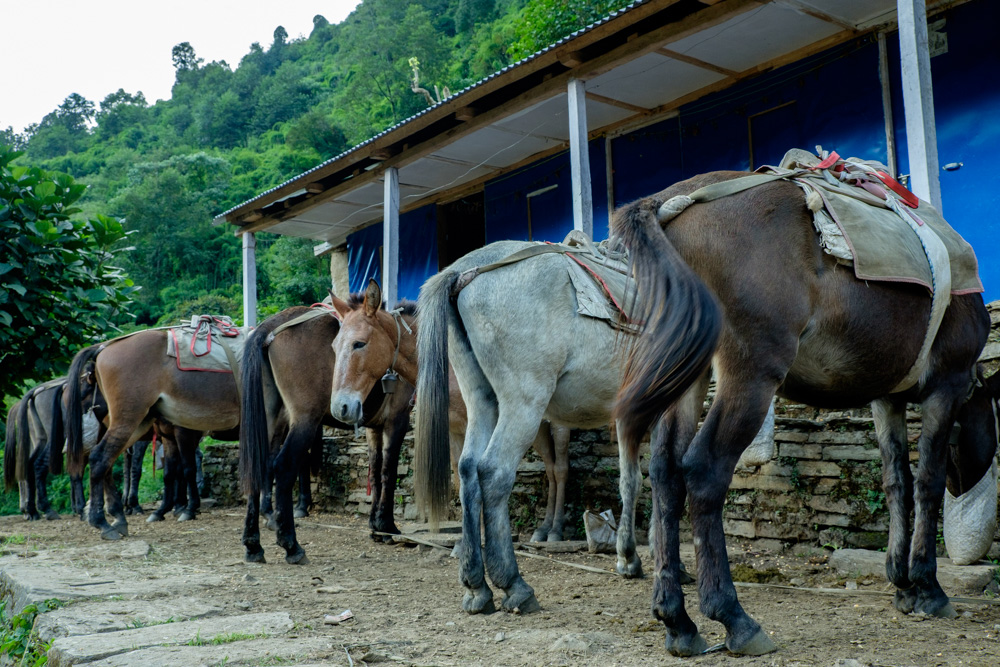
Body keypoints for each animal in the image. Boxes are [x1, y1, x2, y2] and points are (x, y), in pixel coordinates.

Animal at [65, 332, 241, 540]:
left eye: (85, 389)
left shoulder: (180, 434)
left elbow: (180, 471)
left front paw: (181, 508)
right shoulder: (173, 436)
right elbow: (177, 471)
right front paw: (179, 508)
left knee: (103, 463)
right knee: (102, 461)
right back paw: (105, 518)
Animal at [238, 300, 402, 568]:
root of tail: (269, 326)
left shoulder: (374, 427)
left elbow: (375, 471)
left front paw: (375, 526)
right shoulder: (396, 420)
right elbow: (389, 472)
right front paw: (387, 526)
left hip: (271, 418)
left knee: (258, 466)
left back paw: (253, 545)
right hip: (304, 419)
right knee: (284, 466)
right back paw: (291, 545)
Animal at [608, 172, 992, 656]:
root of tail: (667, 204)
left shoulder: (886, 397)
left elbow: (896, 482)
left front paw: (902, 582)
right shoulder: (947, 386)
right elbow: (928, 482)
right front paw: (927, 586)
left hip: (689, 373)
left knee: (665, 475)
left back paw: (677, 620)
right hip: (751, 372)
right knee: (704, 472)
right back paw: (733, 616)